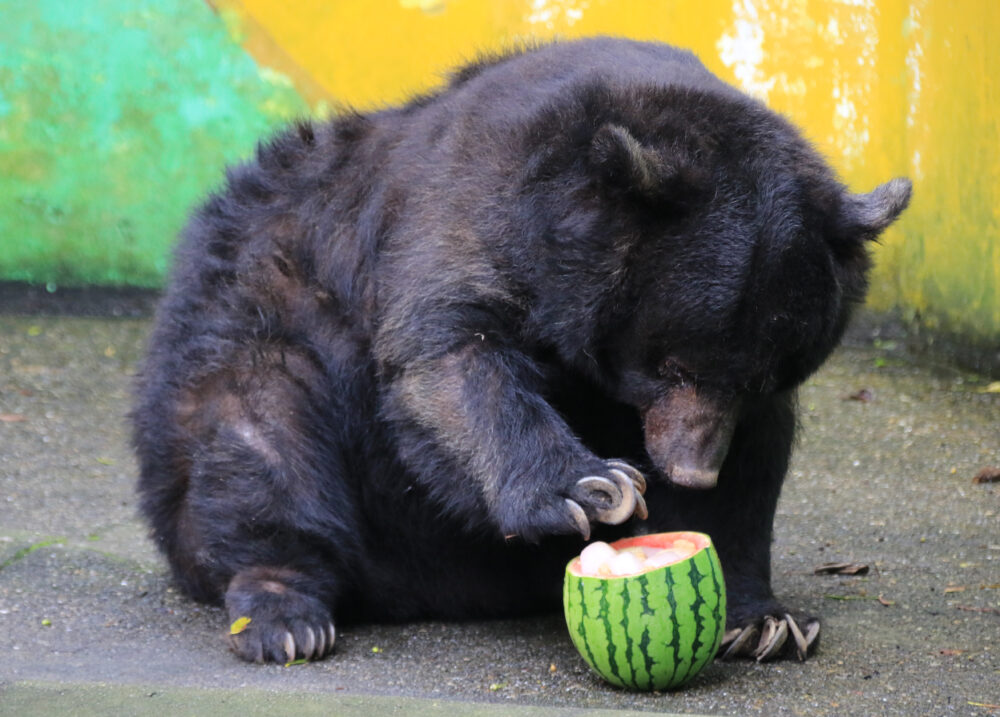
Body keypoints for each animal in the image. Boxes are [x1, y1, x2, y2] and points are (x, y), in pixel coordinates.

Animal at [133, 37, 916, 664]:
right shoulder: (474, 207)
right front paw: (592, 489)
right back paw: (286, 613)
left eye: (761, 375)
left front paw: (763, 620)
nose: (691, 471)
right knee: (263, 440)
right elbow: (448, 357)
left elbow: (754, 473)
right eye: (670, 365)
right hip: (257, 333)